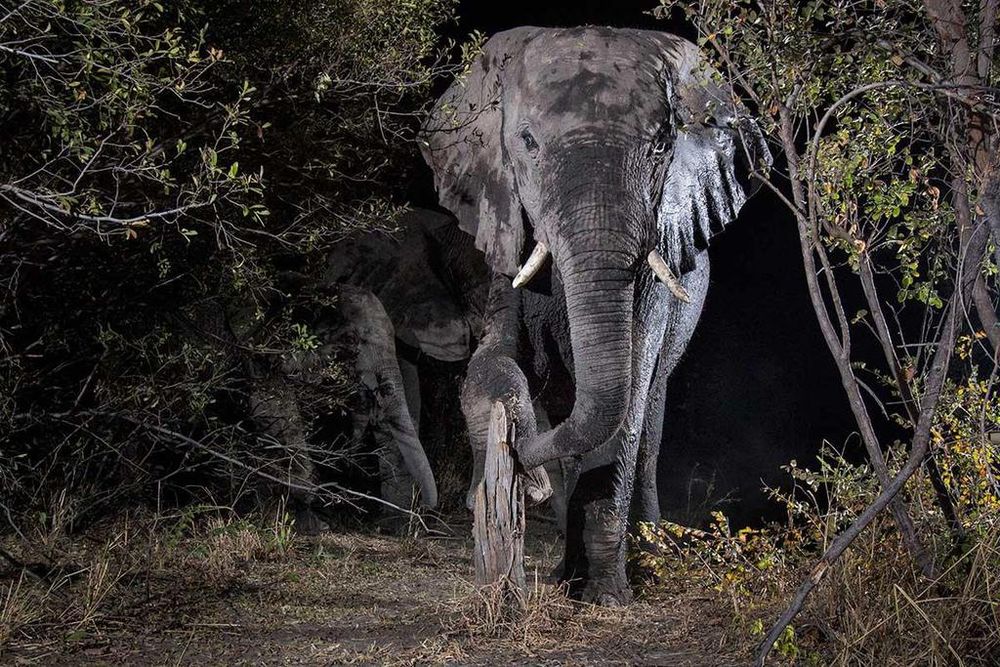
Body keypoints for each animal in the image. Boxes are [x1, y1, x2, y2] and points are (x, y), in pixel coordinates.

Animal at [420, 26, 770, 604]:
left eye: (661, 146)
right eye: (527, 142)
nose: (525, 469)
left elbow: (625, 402)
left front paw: (606, 597)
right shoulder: (504, 230)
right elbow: (492, 360)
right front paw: (520, 452)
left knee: (649, 418)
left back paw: (643, 559)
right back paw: (566, 569)